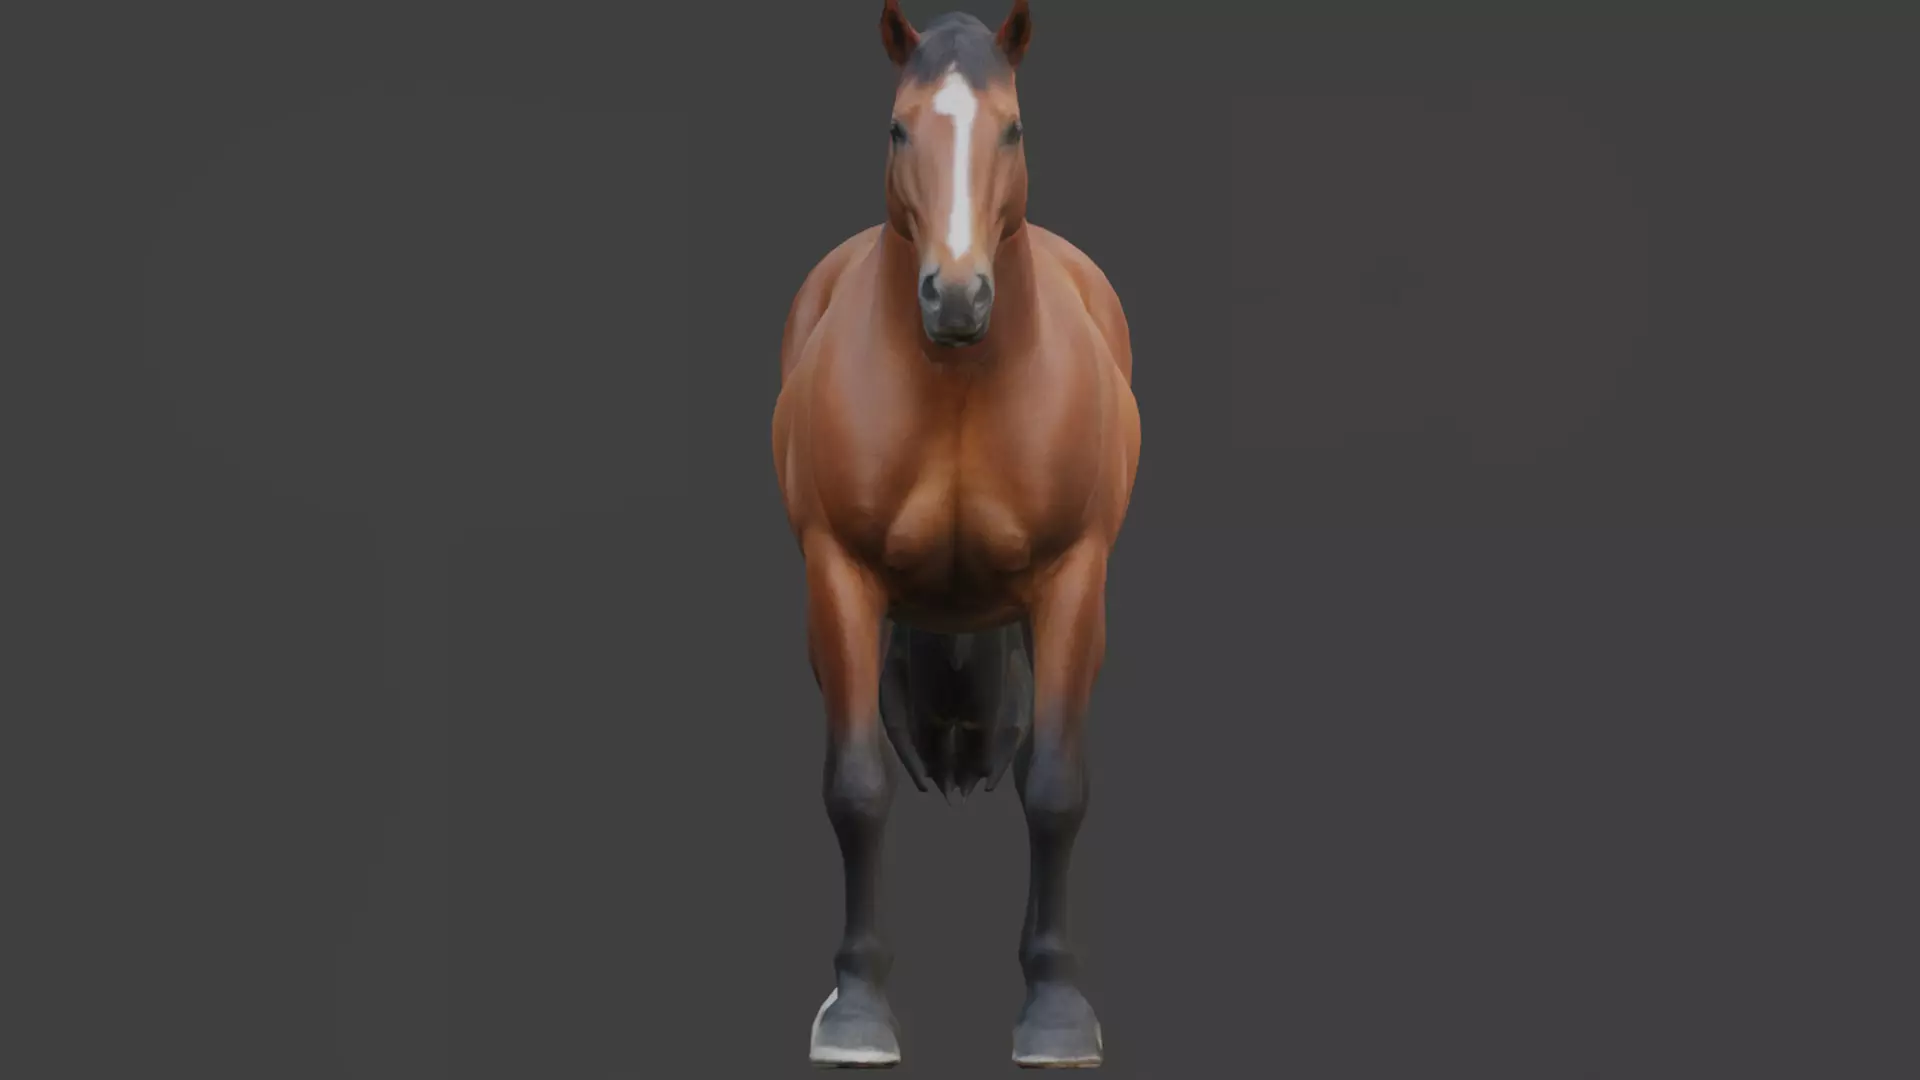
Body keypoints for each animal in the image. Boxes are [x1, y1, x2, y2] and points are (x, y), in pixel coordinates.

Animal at [771, 1, 1140, 1067]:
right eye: (900, 129)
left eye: (1010, 129)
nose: (960, 297)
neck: (961, 388)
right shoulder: (840, 576)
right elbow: (855, 787)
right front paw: (856, 1005)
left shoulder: (1073, 581)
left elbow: (1054, 785)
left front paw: (1055, 1008)